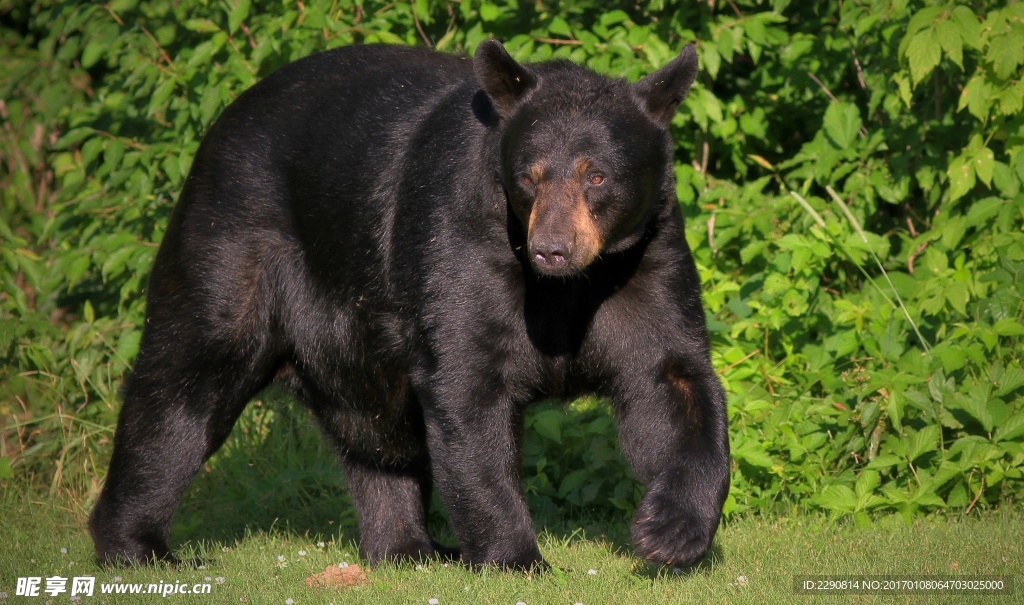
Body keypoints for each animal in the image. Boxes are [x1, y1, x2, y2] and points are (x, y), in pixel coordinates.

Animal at [89, 39, 730, 571]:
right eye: (529, 176)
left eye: (596, 176)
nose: (551, 248)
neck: (565, 286)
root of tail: (222, 123)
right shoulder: (461, 242)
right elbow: (469, 386)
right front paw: (518, 558)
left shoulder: (643, 260)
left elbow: (670, 379)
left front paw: (669, 532)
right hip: (233, 246)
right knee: (186, 383)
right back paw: (138, 545)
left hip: (357, 333)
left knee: (377, 435)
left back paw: (406, 546)